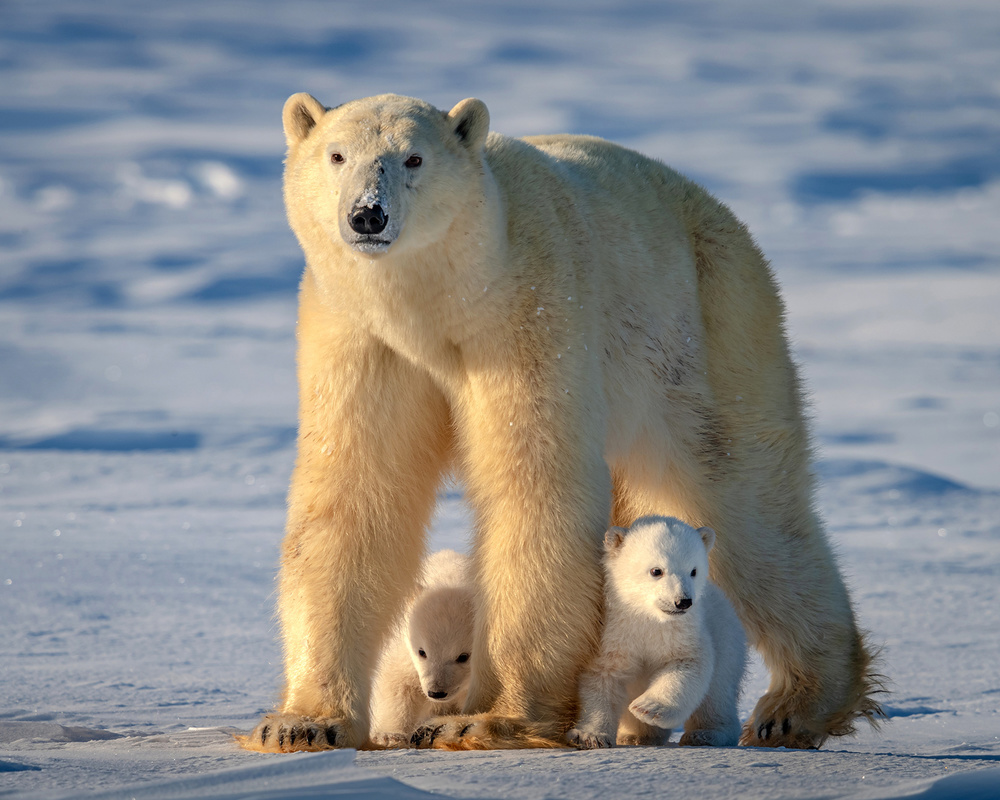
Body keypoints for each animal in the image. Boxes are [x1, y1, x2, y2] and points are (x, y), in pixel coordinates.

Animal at [370, 552, 474, 748]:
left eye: (463, 656)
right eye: (422, 652)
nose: (436, 692)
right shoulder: (403, 649)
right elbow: (396, 684)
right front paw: (389, 736)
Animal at [568, 520, 748, 752]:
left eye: (693, 570)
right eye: (656, 570)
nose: (683, 602)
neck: (649, 618)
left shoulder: (683, 631)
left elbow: (687, 663)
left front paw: (648, 707)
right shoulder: (613, 632)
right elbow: (603, 675)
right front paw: (590, 736)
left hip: (726, 640)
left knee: (716, 695)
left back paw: (705, 734)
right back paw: (635, 735)